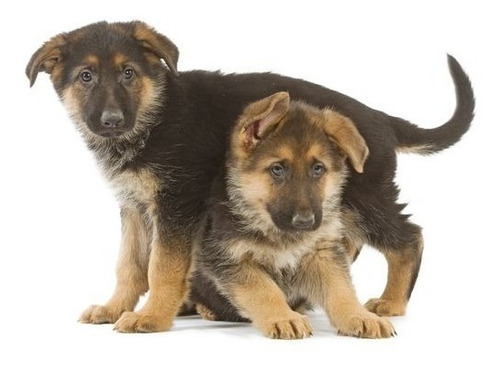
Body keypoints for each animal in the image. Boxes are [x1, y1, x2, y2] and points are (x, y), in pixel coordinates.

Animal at [190, 90, 394, 338]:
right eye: (277, 169)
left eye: (318, 168)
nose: (305, 222)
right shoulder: (230, 257)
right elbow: (265, 290)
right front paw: (283, 317)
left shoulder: (323, 253)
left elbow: (341, 289)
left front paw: (360, 316)